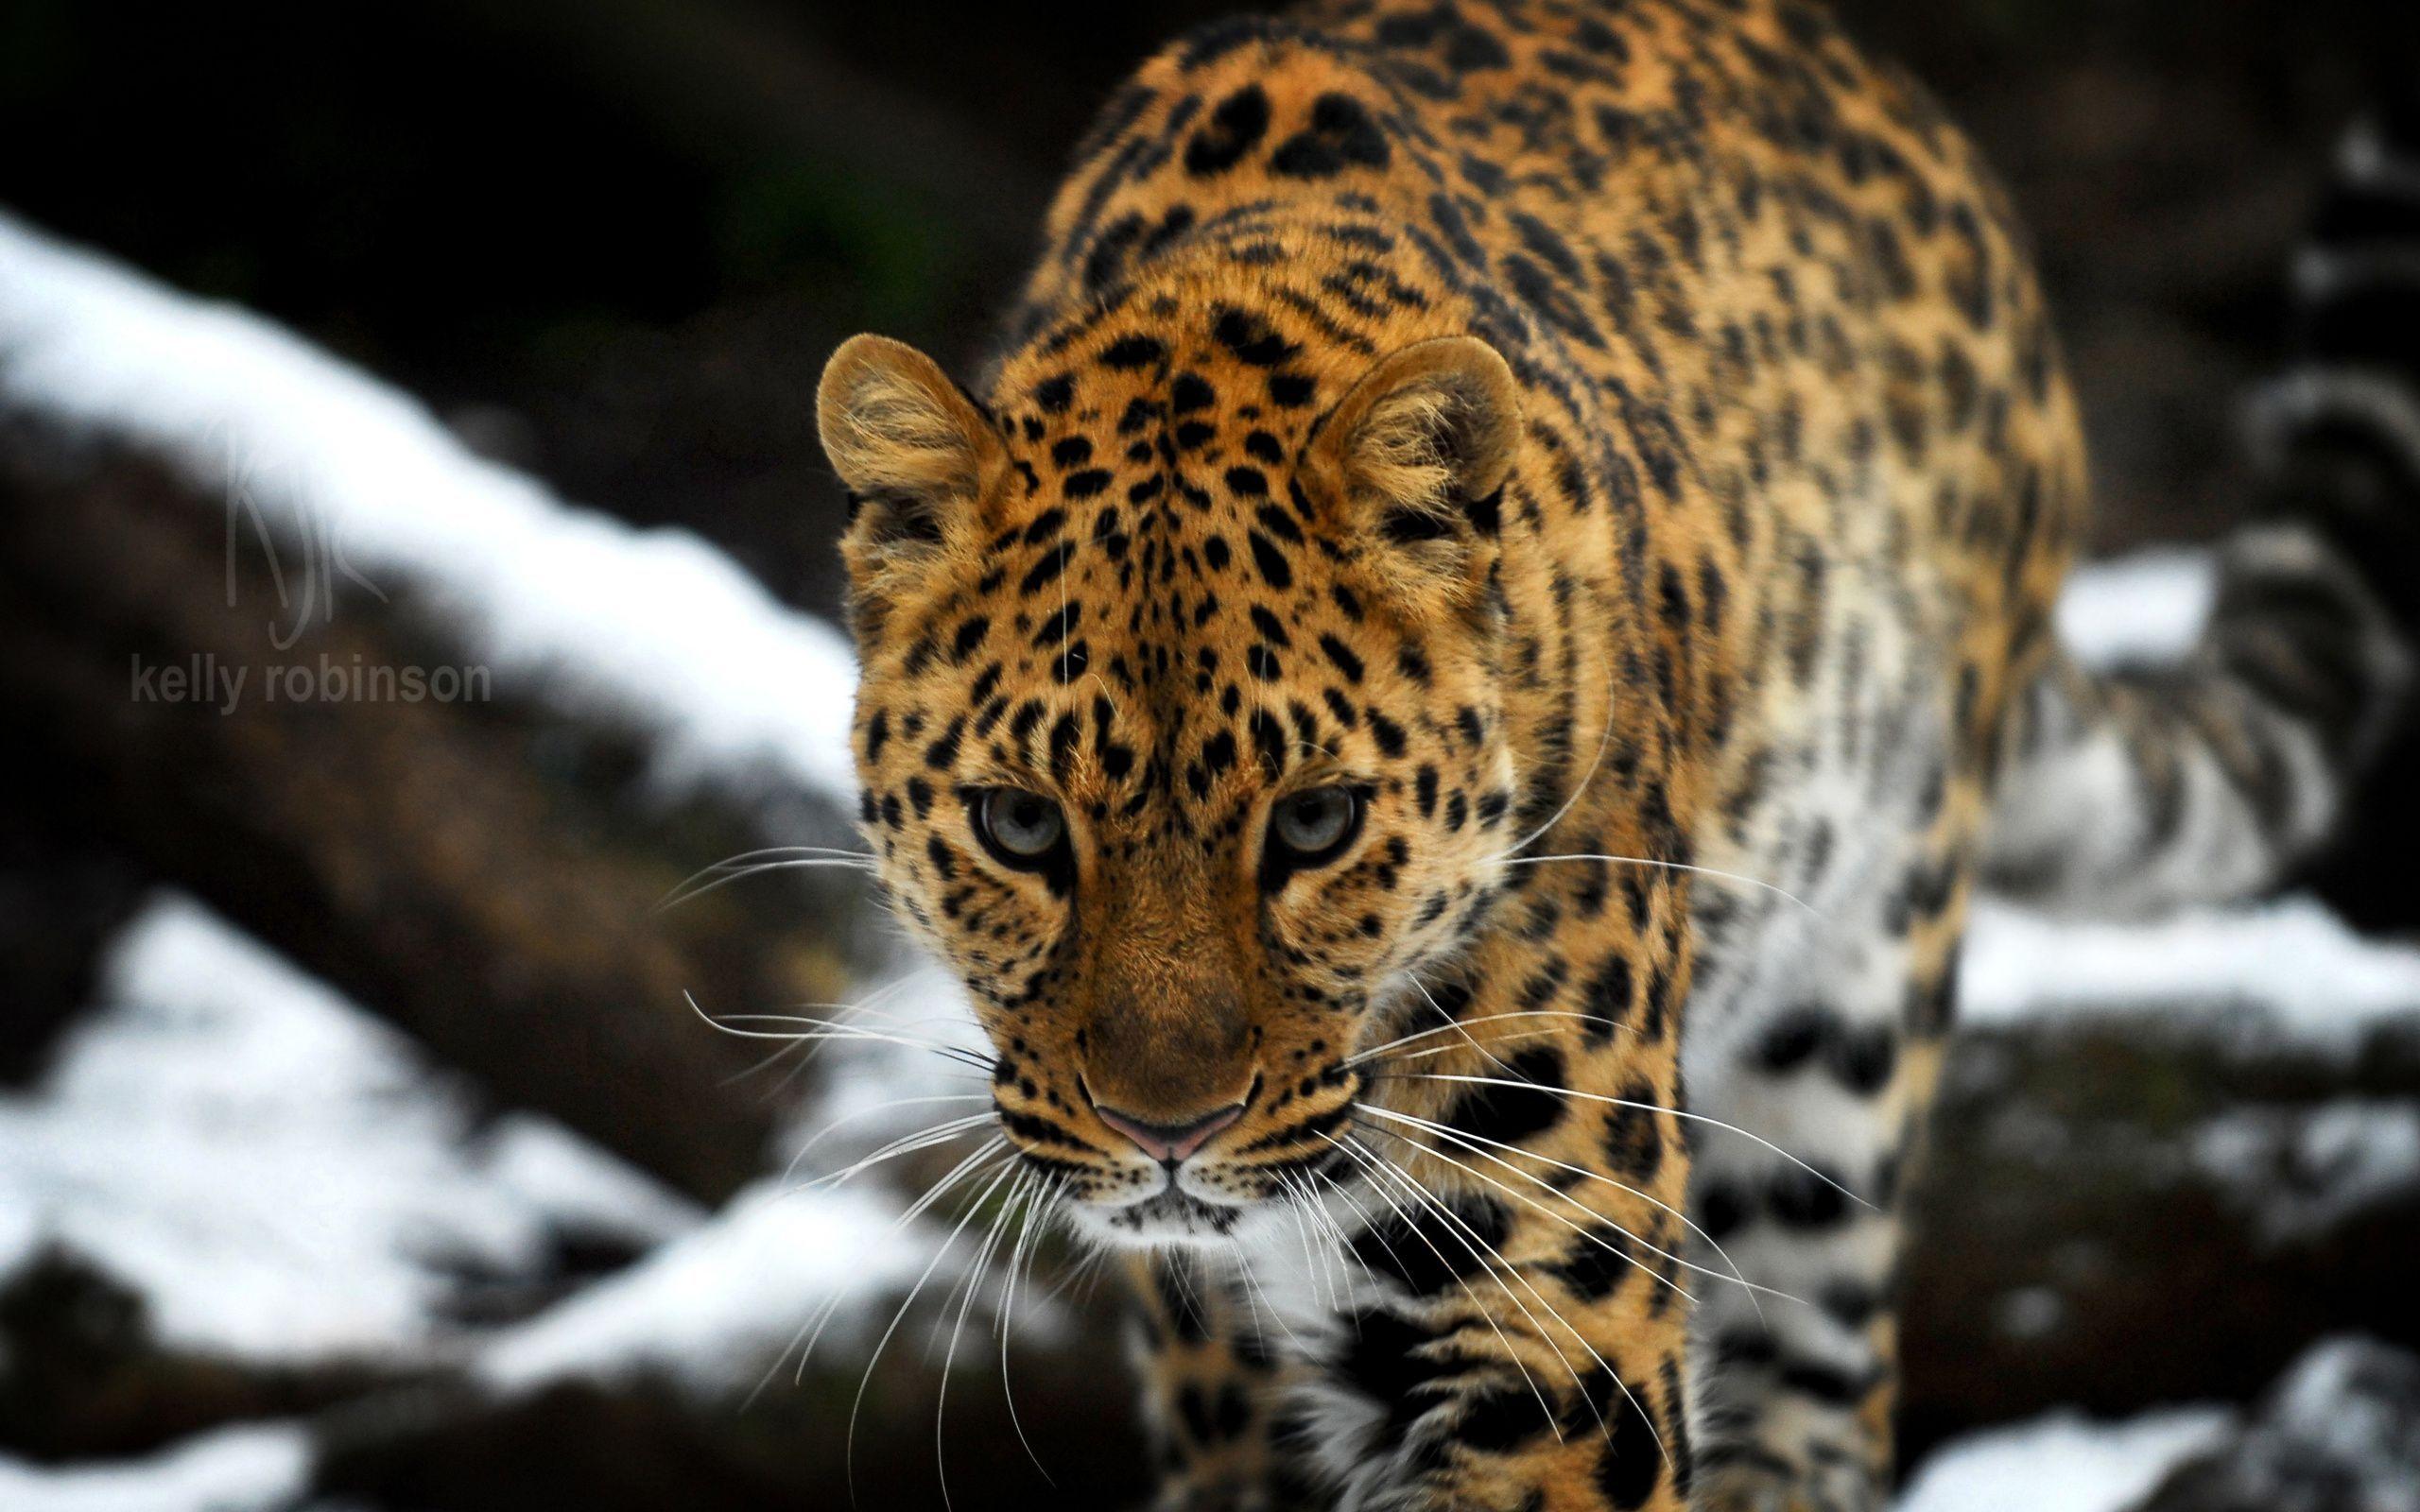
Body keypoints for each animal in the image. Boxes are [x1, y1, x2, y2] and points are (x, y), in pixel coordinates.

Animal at [814, 3, 2420, 1508]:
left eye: (1318, 826)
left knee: (1825, 1380)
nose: (1167, 1134)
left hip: (1857, 999)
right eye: (1021, 829)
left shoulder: (1548, 1340)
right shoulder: (1230, 1380)